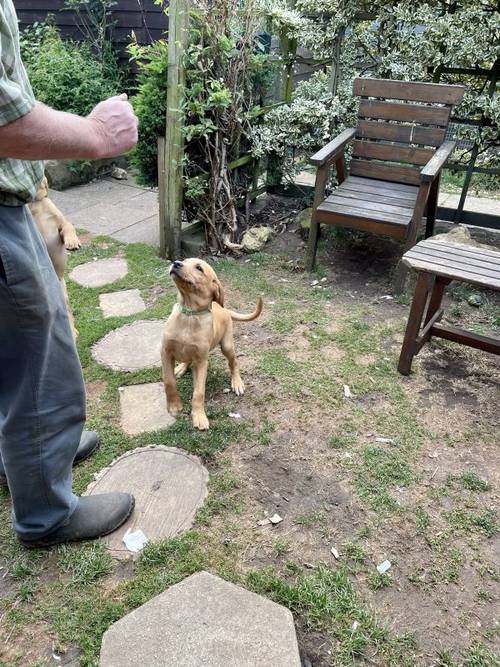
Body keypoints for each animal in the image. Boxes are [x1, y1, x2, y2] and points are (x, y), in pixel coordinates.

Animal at [28, 176, 80, 340]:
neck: (35, 205)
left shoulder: (60, 222)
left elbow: (68, 226)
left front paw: (72, 242)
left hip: (64, 297)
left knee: (68, 315)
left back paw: (73, 333)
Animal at [162, 258, 264, 430]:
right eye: (184, 261)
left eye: (199, 268)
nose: (176, 263)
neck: (189, 315)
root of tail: (224, 309)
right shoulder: (165, 352)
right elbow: (169, 381)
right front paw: (174, 406)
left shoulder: (202, 362)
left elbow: (199, 392)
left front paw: (199, 416)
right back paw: (181, 368)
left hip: (227, 345)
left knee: (234, 362)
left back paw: (237, 382)